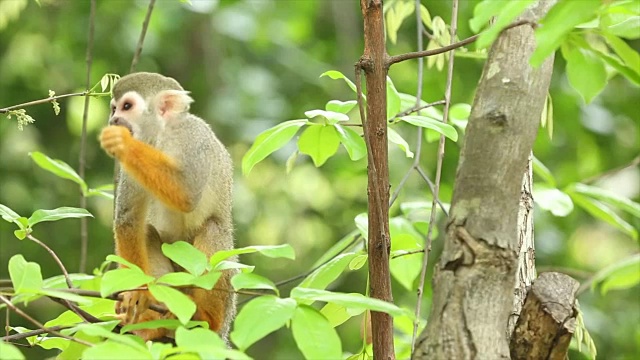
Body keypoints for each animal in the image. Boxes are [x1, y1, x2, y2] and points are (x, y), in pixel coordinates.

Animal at [100, 71, 238, 342]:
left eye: (126, 106)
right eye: (113, 108)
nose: (114, 120)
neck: (161, 137)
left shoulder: (194, 137)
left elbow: (187, 195)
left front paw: (122, 143)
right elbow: (129, 221)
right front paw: (137, 292)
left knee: (213, 228)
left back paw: (206, 318)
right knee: (146, 231)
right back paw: (152, 323)